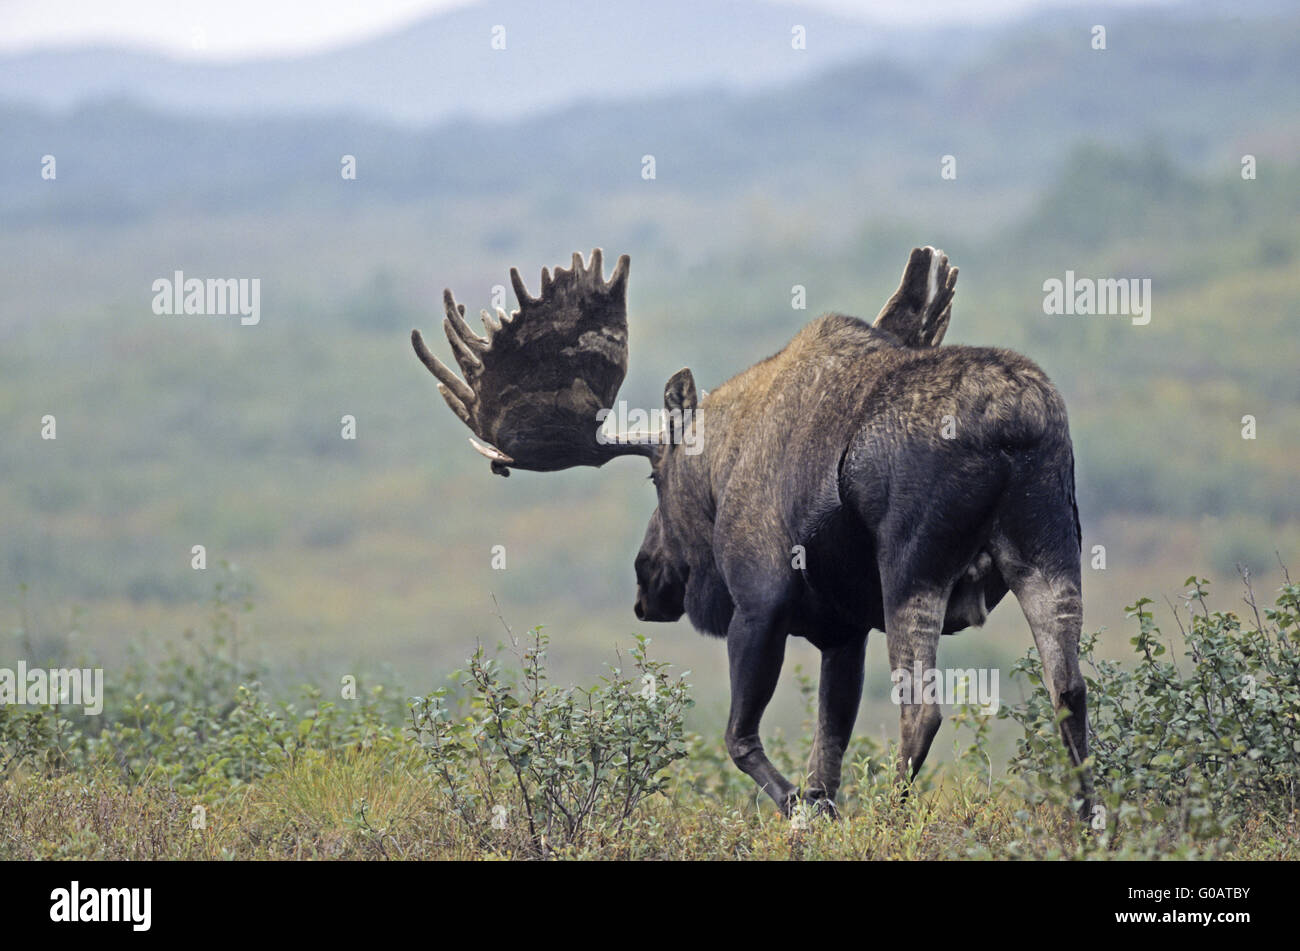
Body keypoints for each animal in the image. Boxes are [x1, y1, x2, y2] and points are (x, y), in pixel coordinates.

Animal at [410, 245, 1092, 815]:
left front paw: (799, 809)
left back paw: (894, 819)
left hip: (911, 564)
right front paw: (820, 809)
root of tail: (1012, 425)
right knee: (1069, 694)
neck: (723, 466)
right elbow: (828, 752)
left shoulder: (761, 600)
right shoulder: (844, 629)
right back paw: (1090, 819)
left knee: (921, 711)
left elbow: (743, 740)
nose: (646, 579)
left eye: (653, 477)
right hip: (1051, 549)